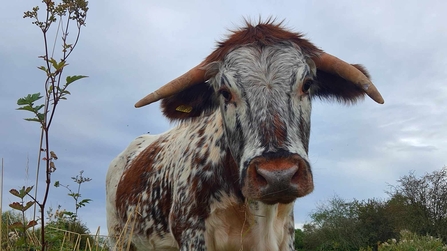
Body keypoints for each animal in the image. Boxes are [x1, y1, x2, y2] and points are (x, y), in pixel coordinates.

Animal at [106, 20, 384, 250]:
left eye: (307, 85)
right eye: (225, 92)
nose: (278, 176)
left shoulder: (285, 236)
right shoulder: (191, 234)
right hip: (120, 238)